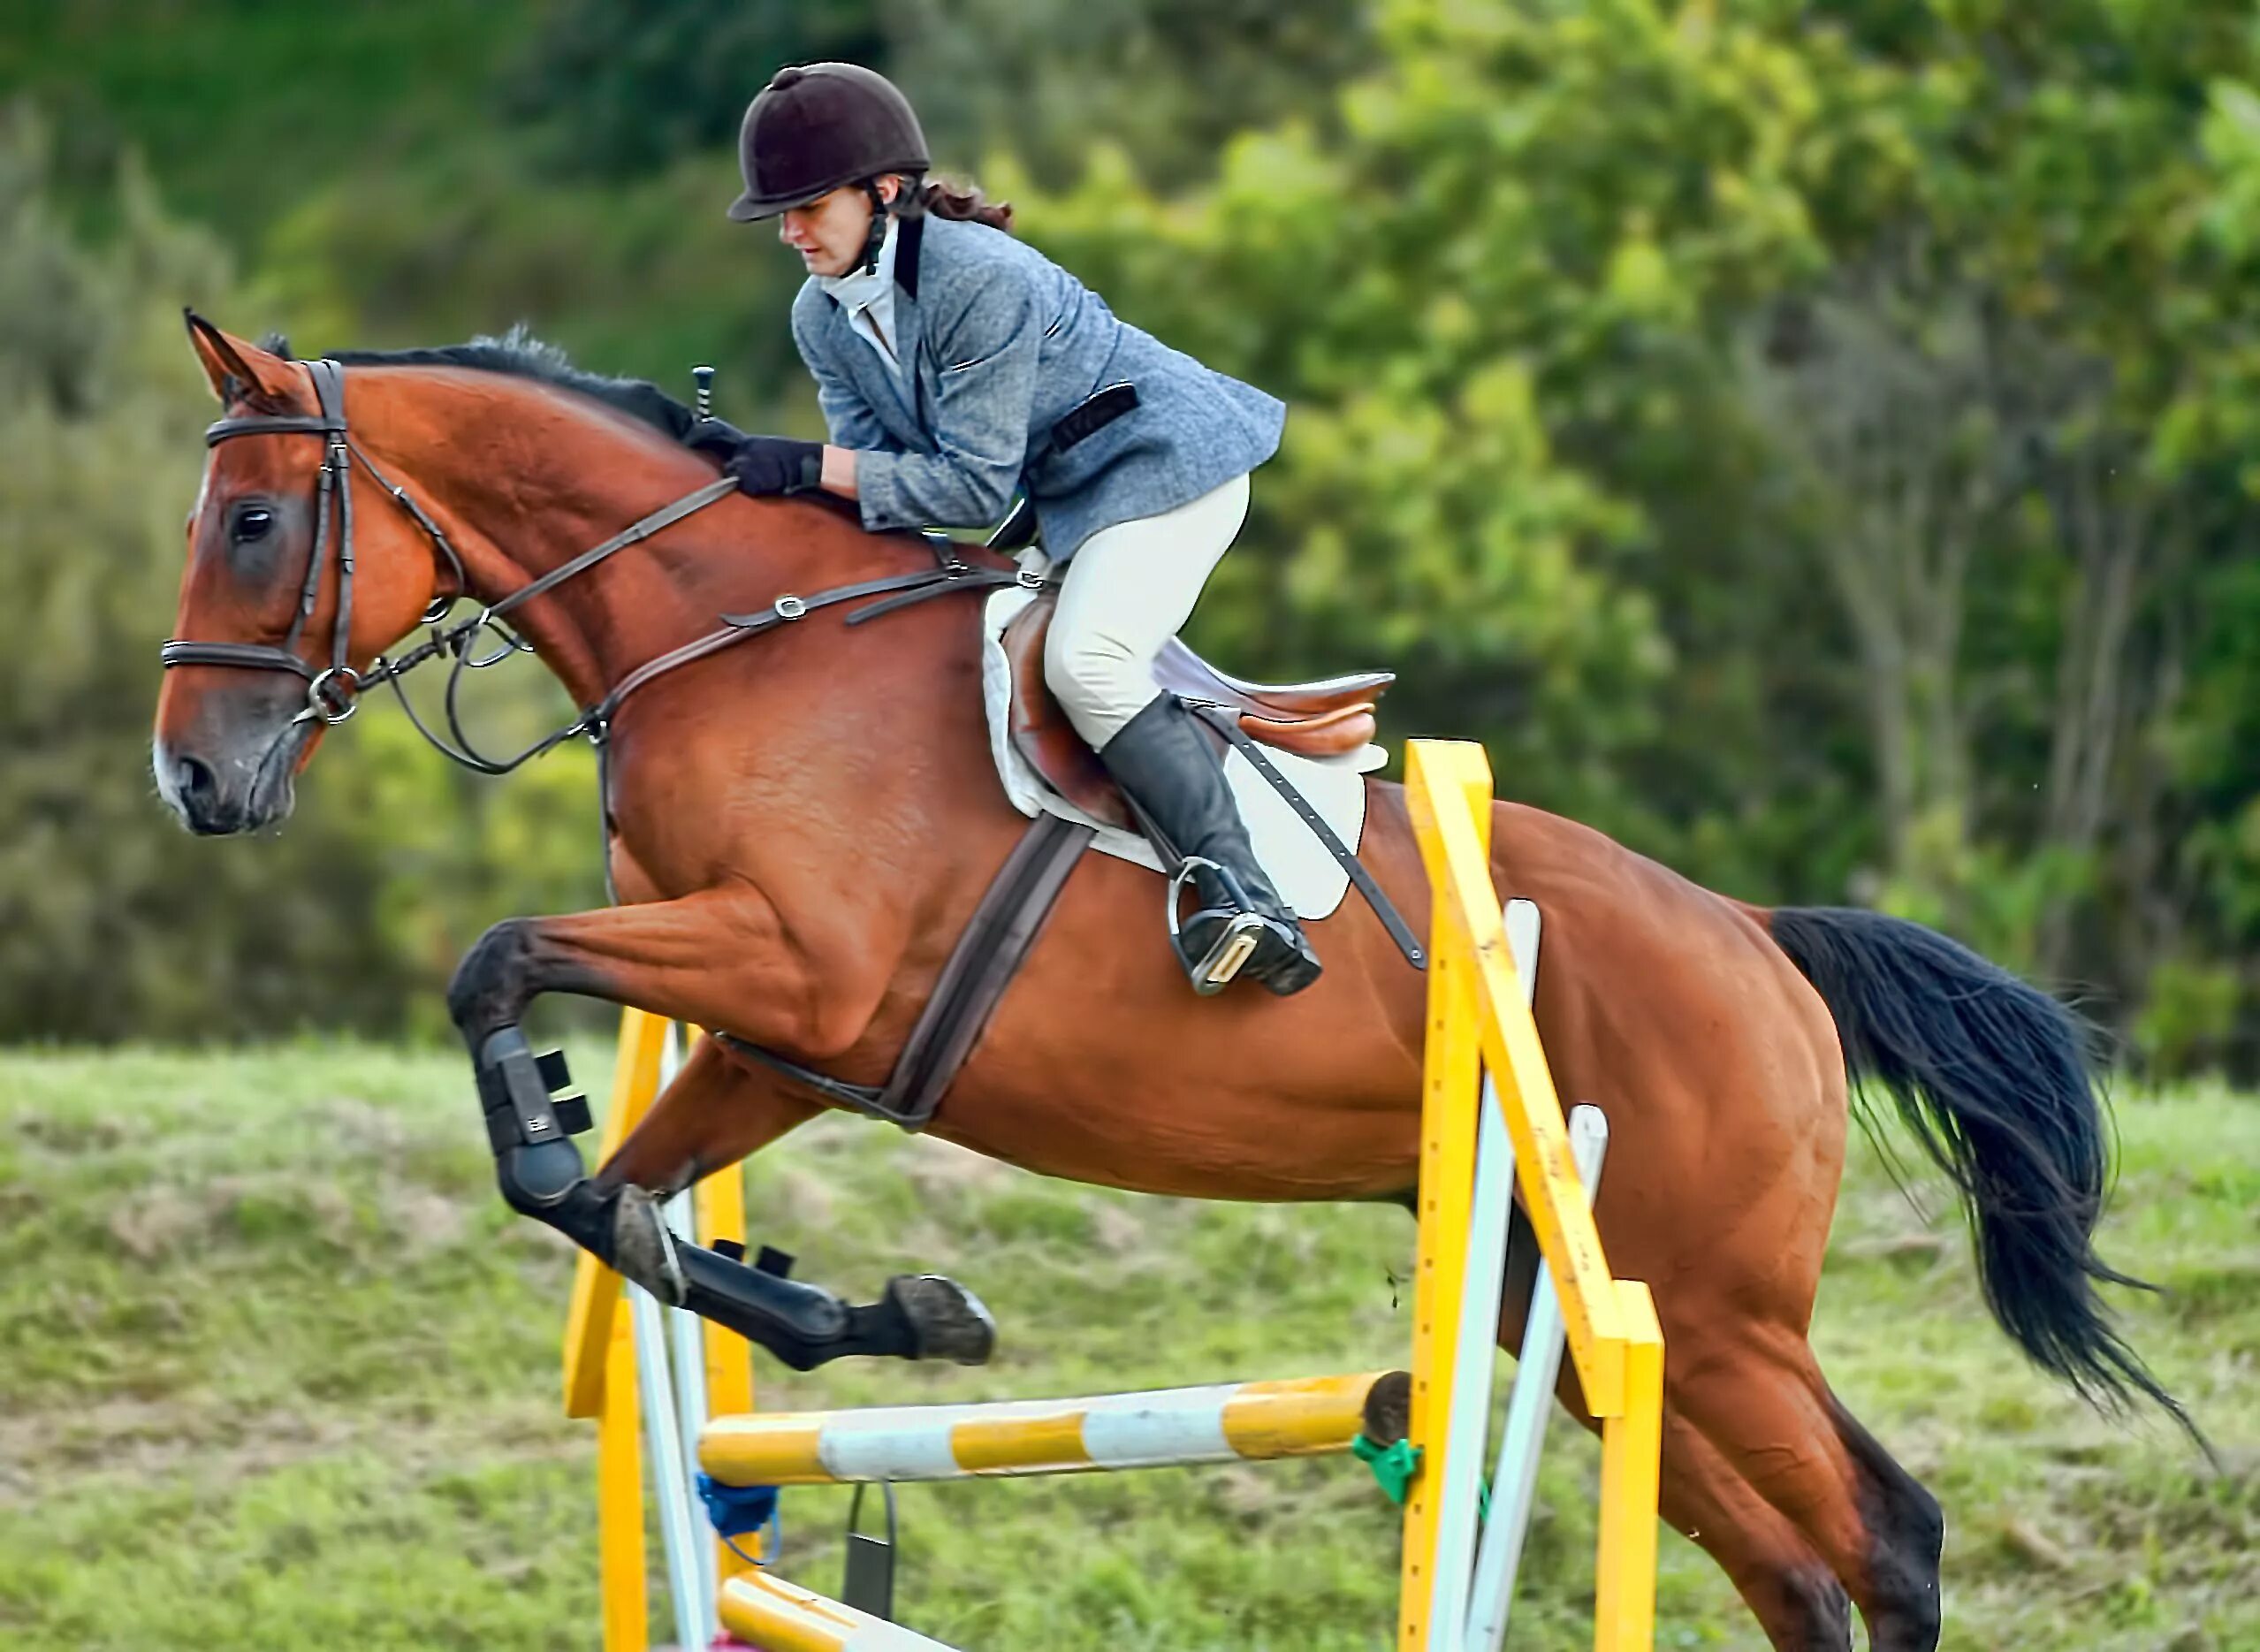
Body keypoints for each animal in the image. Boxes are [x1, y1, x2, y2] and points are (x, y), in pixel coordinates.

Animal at [145, 316, 2188, 1645]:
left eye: (251, 524)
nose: (195, 782)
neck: (733, 638)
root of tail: (1759, 943)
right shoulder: (793, 1039)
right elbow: (612, 1208)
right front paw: (887, 1310)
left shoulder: (801, 969)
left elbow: (495, 970)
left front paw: (635, 1158)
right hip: (1579, 1303)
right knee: (1797, 1569)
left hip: (1704, 1300)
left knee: (1888, 1539)